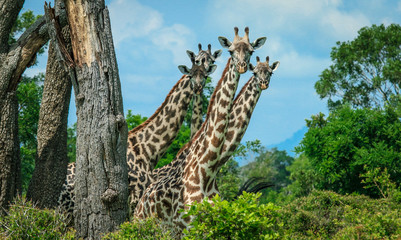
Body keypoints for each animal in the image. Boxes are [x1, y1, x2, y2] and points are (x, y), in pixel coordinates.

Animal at [56, 47, 219, 221]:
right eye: (196, 63)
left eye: (211, 61)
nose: (198, 86)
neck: (147, 150)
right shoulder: (136, 197)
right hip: (61, 211)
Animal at [134, 26, 266, 234]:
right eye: (231, 51)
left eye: (251, 51)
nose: (242, 66)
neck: (207, 171)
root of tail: (142, 202)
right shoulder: (185, 226)